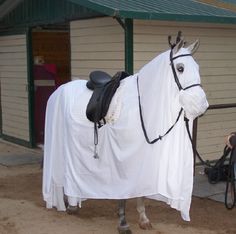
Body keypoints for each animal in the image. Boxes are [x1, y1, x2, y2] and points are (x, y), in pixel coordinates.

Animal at [42, 32, 208, 232]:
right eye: (180, 68)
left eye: (197, 67)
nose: (201, 104)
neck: (141, 106)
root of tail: (58, 91)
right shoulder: (121, 158)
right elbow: (122, 193)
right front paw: (123, 223)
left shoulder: (141, 158)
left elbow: (140, 191)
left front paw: (143, 219)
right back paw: (69, 204)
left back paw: (74, 203)